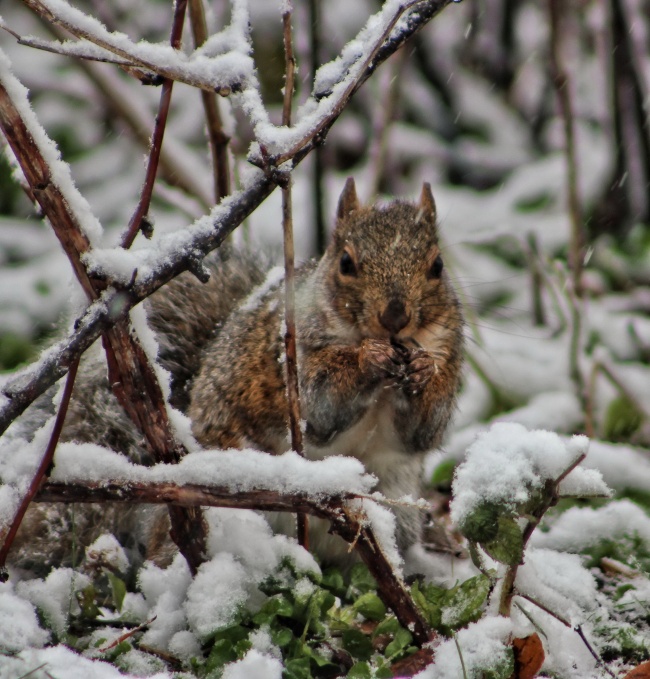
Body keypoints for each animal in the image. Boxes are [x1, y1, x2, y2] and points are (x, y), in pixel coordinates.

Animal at [8, 179, 460, 572]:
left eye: (438, 265)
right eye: (346, 263)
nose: (395, 316)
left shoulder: (448, 355)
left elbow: (423, 430)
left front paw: (423, 371)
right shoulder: (292, 357)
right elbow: (322, 406)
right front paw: (369, 358)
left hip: (395, 515)